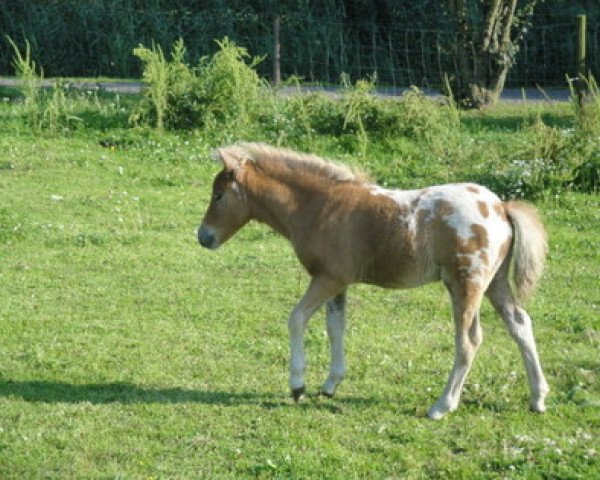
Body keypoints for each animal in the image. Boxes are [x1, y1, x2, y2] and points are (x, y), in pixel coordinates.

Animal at [197, 142, 548, 420]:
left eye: (218, 195)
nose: (203, 237)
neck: (319, 206)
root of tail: (501, 207)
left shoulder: (328, 278)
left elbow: (296, 319)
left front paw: (298, 386)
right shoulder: (338, 282)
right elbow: (335, 327)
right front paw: (330, 385)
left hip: (465, 284)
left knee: (469, 340)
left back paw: (442, 406)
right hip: (495, 282)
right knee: (520, 324)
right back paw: (538, 398)